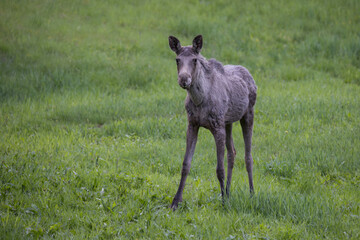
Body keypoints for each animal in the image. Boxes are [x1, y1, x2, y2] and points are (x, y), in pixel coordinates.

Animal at [169, 34, 256, 210]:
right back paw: (229, 191)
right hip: (228, 122)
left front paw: (223, 202)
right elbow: (185, 165)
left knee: (248, 156)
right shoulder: (192, 125)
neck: (199, 99)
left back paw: (251, 193)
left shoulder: (217, 127)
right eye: (177, 59)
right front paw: (176, 201)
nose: (184, 79)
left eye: (195, 60)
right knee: (232, 152)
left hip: (248, 115)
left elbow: (219, 169)